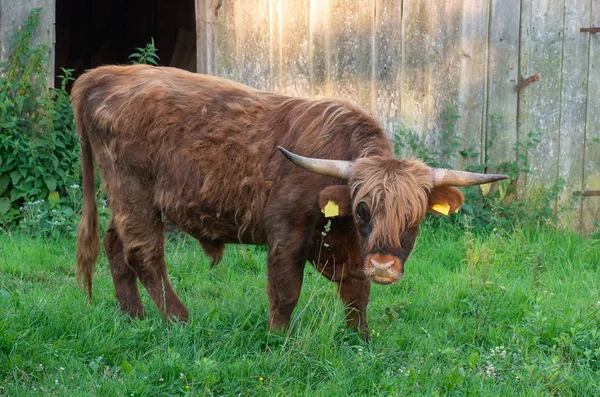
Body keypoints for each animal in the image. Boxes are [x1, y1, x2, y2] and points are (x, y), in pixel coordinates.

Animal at [72, 65, 508, 338]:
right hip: (135, 194)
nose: (384, 265)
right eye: (363, 209)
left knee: (116, 245)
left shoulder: (351, 251)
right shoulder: (287, 233)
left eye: (414, 217)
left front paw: (360, 338)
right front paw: (277, 338)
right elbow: (285, 291)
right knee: (144, 254)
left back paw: (132, 317)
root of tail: (103, 75)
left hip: (125, 200)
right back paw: (179, 320)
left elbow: (356, 291)